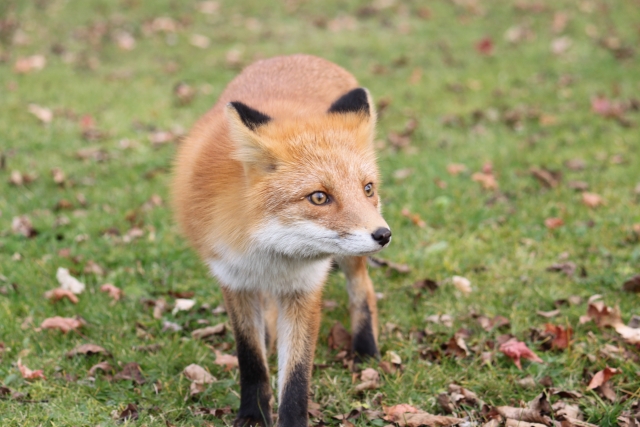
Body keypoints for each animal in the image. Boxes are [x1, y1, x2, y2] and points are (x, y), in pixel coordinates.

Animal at [172, 54, 390, 427]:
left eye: (367, 189)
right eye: (319, 197)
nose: (384, 235)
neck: (271, 252)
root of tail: (300, 56)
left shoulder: (304, 288)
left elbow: (297, 376)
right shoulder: (235, 280)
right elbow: (251, 358)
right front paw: (253, 415)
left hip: (351, 259)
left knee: (362, 288)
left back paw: (365, 348)